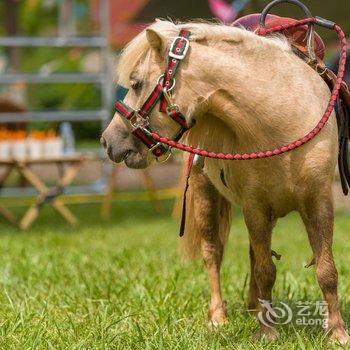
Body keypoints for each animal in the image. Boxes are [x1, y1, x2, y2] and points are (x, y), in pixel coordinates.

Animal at [100, 18, 348, 342]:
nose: (108, 141)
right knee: (213, 254)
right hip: (206, 196)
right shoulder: (255, 207)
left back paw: (254, 307)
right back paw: (219, 317)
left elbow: (326, 270)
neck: (282, 120)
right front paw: (268, 333)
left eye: (137, 83)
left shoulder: (318, 202)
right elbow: (266, 270)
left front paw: (337, 332)